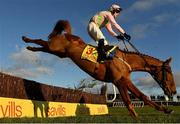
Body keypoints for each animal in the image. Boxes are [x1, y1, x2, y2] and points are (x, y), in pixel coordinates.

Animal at [21, 19, 176, 116]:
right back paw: (26, 39)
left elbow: (142, 97)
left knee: (42, 46)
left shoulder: (124, 81)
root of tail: (67, 35)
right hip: (55, 47)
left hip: (59, 53)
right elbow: (131, 102)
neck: (125, 60)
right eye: (169, 72)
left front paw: (166, 110)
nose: (173, 91)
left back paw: (30, 48)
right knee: (41, 41)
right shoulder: (120, 82)